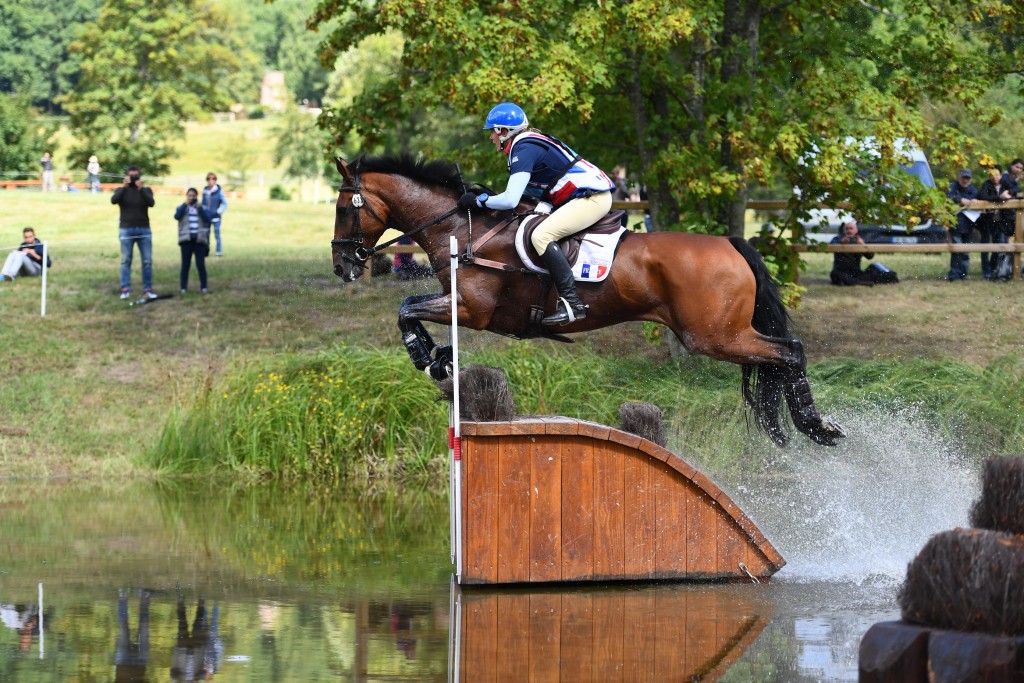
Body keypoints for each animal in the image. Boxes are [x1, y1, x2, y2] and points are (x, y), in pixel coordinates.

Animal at [331, 153, 843, 448]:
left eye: (341, 208)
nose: (342, 265)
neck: (461, 228)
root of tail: (731, 243)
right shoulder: (456, 300)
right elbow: (411, 305)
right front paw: (439, 356)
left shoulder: (474, 310)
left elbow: (407, 309)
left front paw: (427, 355)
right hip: (722, 334)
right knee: (780, 358)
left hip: (714, 336)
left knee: (789, 352)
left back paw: (816, 426)